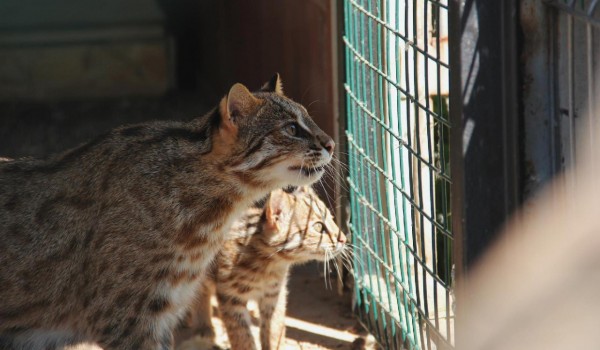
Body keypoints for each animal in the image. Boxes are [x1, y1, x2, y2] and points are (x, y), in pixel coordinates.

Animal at [188, 186, 346, 350]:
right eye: (318, 227)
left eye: (332, 218)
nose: (344, 239)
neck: (269, 265)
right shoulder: (230, 297)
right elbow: (242, 336)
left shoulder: (274, 294)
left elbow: (274, 329)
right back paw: (203, 329)